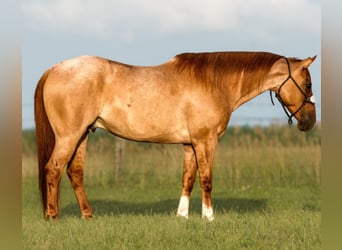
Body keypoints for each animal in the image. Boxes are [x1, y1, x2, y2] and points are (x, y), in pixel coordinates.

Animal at [33, 51, 316, 220]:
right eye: (308, 84)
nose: (309, 121)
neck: (213, 83)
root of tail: (54, 68)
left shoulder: (189, 144)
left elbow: (187, 179)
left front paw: (182, 216)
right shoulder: (206, 141)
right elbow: (206, 179)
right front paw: (209, 217)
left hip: (83, 135)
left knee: (75, 172)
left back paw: (88, 215)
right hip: (69, 136)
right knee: (53, 169)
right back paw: (52, 216)